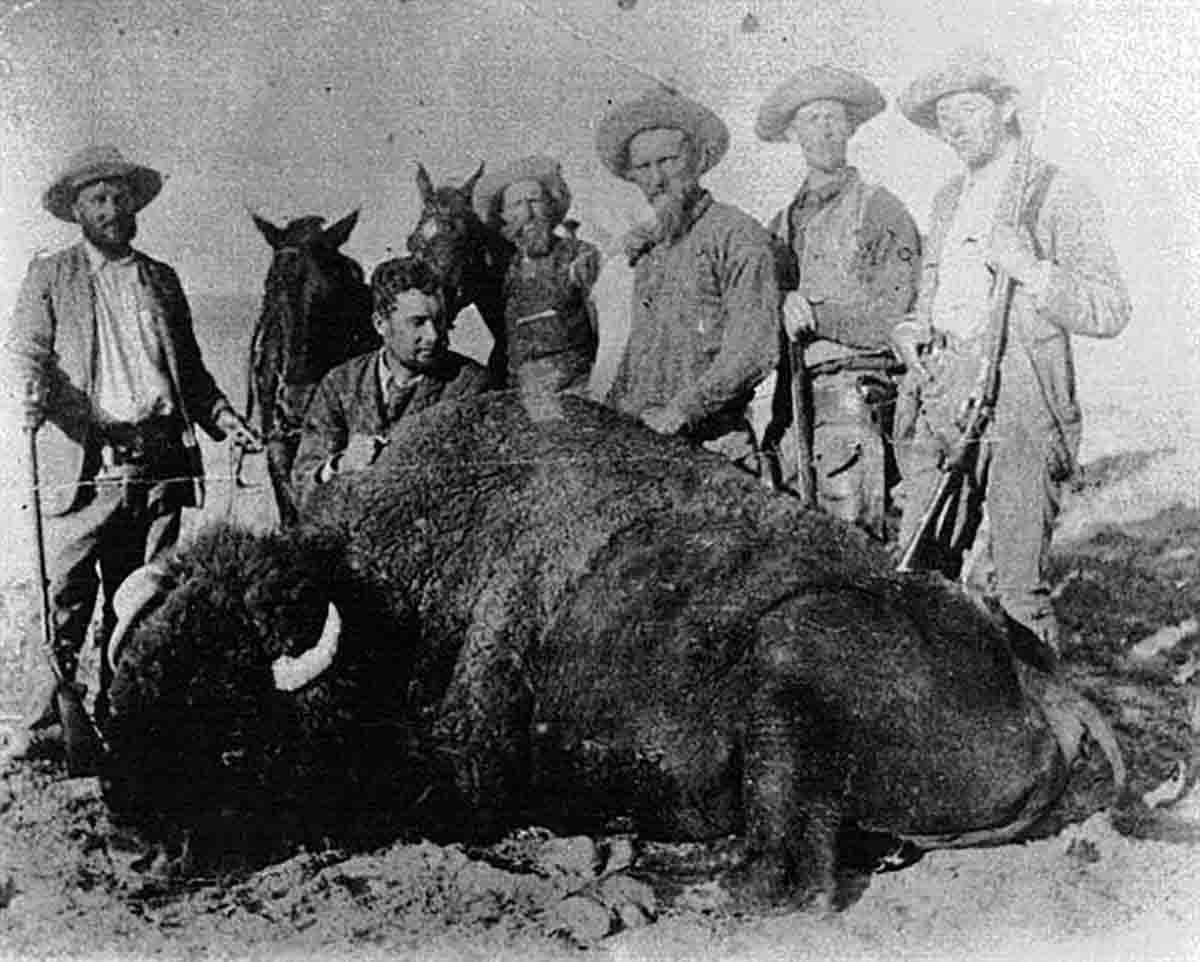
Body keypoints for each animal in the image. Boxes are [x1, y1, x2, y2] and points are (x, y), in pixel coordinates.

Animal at [103, 388, 1123, 902]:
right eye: (125, 705)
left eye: (236, 739)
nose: (135, 850)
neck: (385, 609)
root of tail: (1042, 679)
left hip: (792, 654)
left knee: (781, 876)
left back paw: (638, 864)